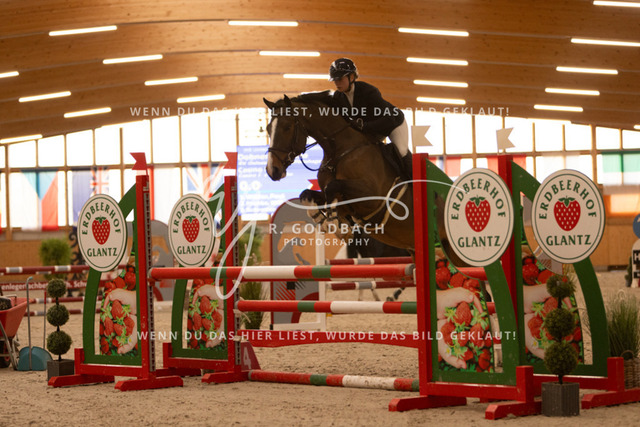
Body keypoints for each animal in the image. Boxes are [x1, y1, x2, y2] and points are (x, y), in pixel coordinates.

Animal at [263, 91, 415, 251]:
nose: (272, 170)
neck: (338, 152)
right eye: (268, 129)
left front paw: (336, 225)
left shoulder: (372, 197)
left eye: (287, 127)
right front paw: (322, 219)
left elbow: (332, 187)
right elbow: (307, 194)